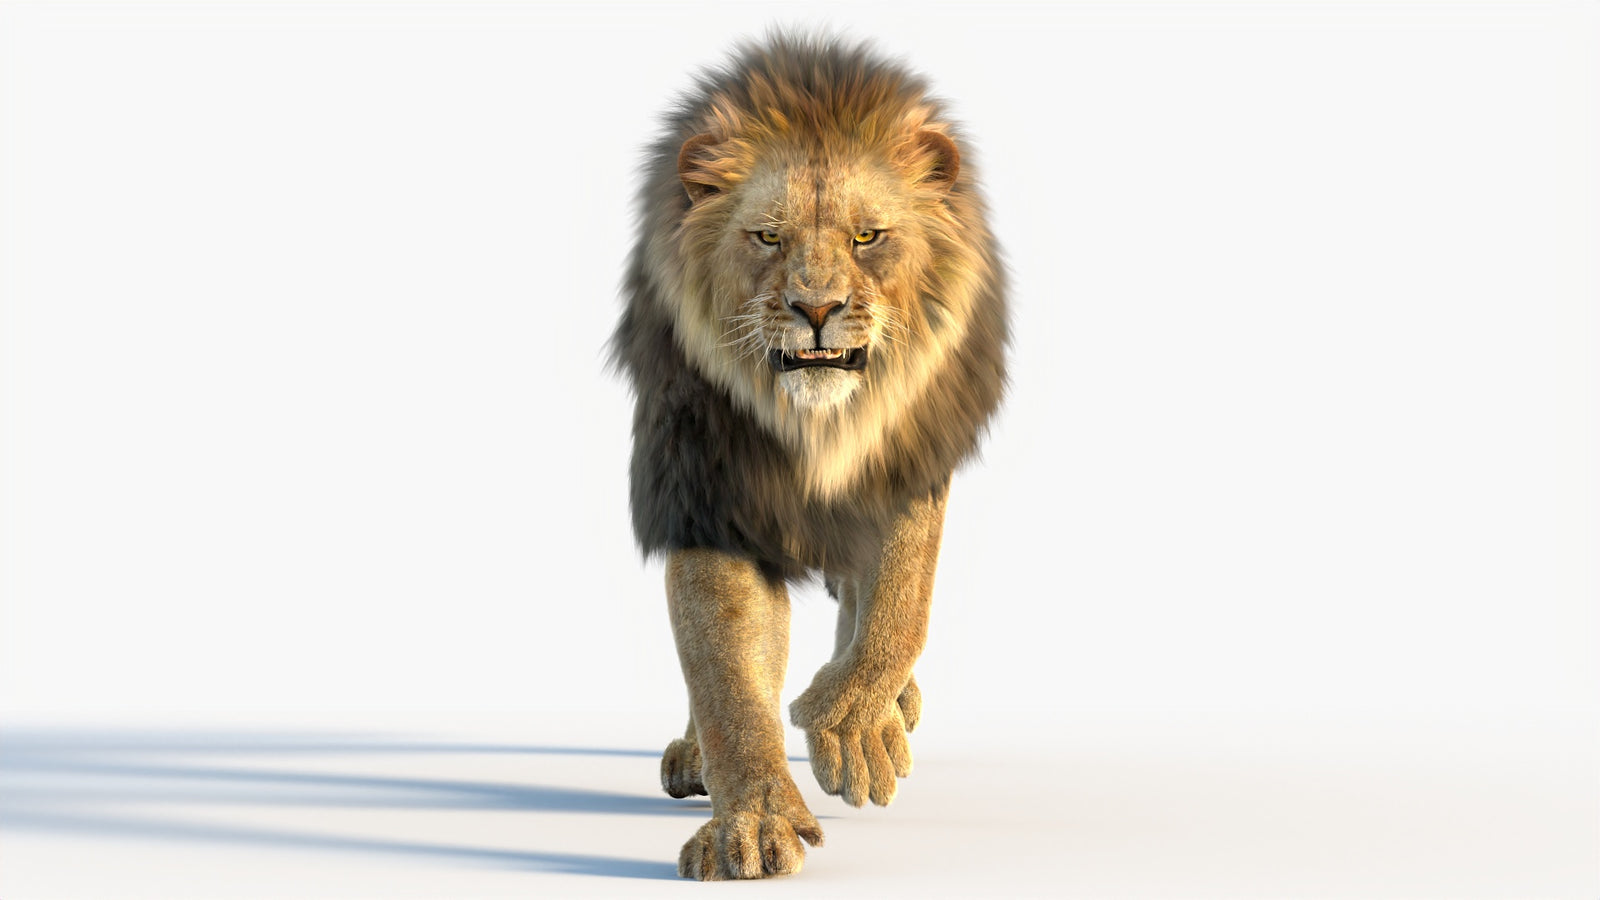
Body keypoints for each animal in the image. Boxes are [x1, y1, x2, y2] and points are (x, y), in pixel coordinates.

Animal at [610, 33, 1007, 880]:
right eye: (768, 237)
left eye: (867, 237)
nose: (816, 308)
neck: (815, 428)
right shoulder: (707, 492)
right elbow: (728, 670)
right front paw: (753, 824)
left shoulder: (909, 457)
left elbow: (899, 603)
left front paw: (850, 722)